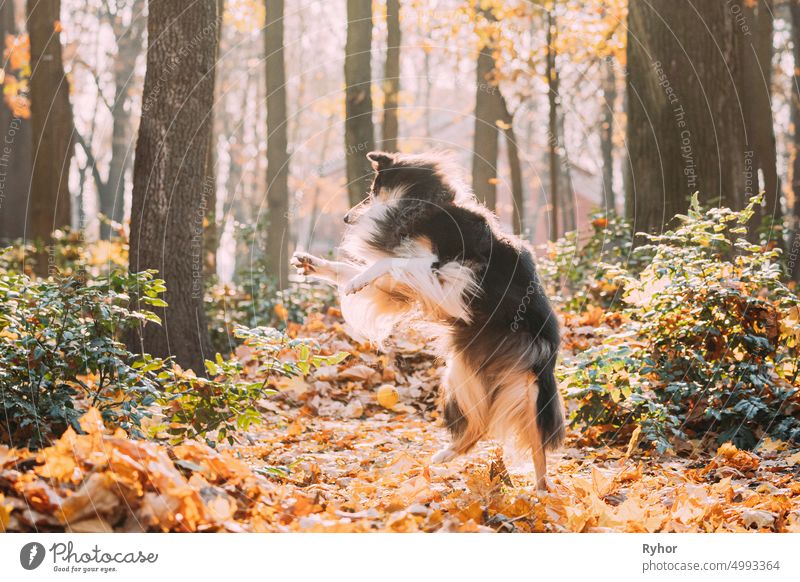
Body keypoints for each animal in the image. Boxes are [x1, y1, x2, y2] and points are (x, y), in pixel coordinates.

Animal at [292, 151, 564, 488]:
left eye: (374, 190)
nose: (345, 218)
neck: (425, 205)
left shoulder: (449, 273)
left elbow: (389, 261)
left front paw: (357, 280)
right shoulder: (410, 288)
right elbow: (358, 268)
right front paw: (315, 265)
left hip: (530, 391)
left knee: (538, 448)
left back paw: (541, 492)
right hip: (462, 377)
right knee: (480, 425)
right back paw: (445, 456)